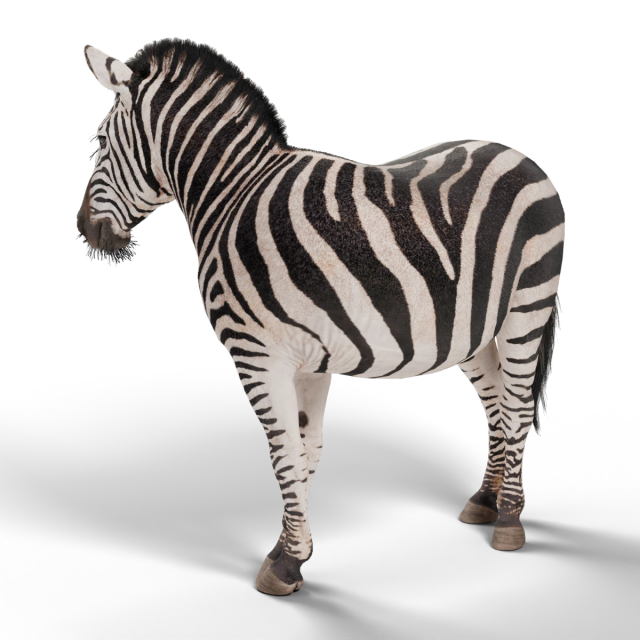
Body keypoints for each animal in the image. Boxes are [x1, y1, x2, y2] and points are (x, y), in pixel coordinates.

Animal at [77, 38, 565, 595]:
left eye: (99, 141)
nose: (86, 231)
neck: (232, 196)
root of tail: (521, 155)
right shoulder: (309, 361)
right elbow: (306, 452)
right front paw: (293, 550)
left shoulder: (259, 356)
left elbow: (283, 455)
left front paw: (286, 562)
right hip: (477, 330)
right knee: (496, 404)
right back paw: (486, 499)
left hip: (526, 308)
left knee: (519, 407)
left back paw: (509, 520)